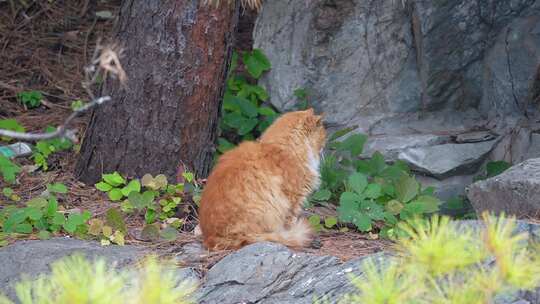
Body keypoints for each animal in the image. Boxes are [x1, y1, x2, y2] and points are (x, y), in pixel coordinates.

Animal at [198, 108, 324, 251]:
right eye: (323, 136)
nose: (324, 147)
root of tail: (211, 238)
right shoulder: (293, 200)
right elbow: (289, 223)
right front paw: (290, 234)